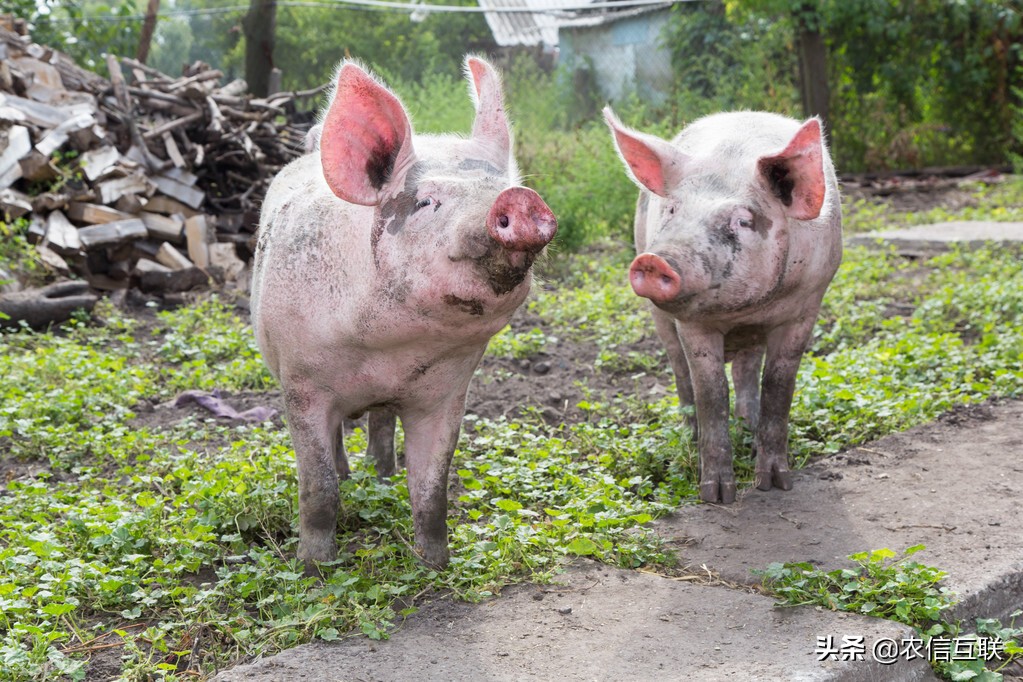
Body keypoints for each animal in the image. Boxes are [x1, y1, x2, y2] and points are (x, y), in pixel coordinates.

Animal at [251, 57, 560, 572]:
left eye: (504, 188)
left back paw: (382, 477)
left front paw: (434, 565)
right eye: (426, 202)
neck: (390, 350)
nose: (519, 200)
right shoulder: (300, 382)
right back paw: (353, 475)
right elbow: (318, 488)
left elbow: (433, 491)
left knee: (381, 424)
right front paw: (315, 568)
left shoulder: (448, 393)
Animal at [601, 106, 842, 505]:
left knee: (747, 368)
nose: (654, 261)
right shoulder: (691, 323)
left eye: (743, 220)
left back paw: (748, 427)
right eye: (672, 209)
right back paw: (691, 434)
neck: (744, 310)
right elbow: (711, 392)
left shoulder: (807, 306)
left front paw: (775, 484)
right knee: (680, 372)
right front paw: (716, 496)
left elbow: (778, 387)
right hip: (659, 319)